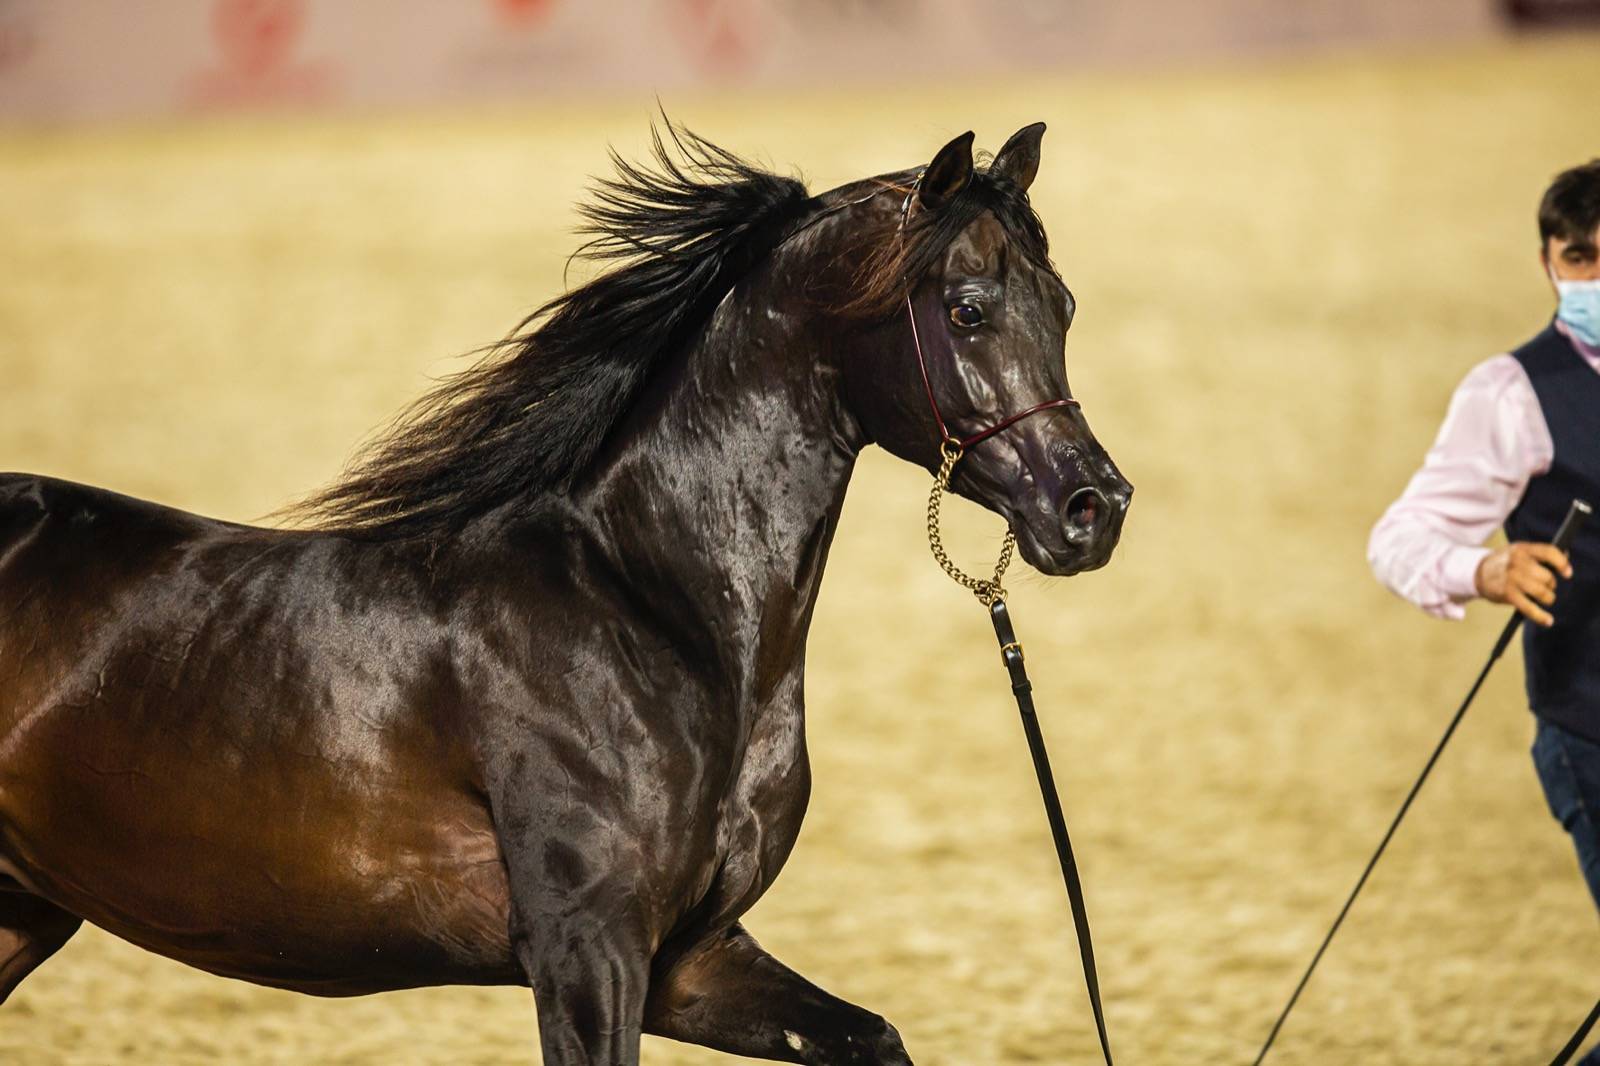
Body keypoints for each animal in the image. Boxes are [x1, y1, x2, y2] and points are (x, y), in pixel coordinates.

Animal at [0, 121, 1130, 1065]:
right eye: (968, 309)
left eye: (1066, 307)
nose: (1092, 507)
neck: (647, 611)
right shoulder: (586, 948)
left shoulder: (692, 957)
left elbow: (874, 1037)